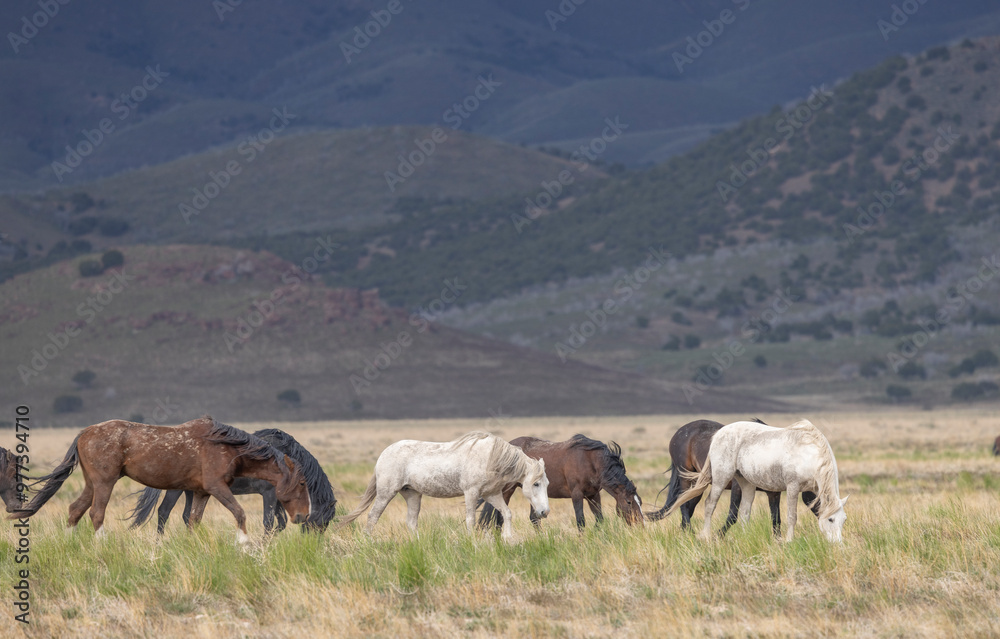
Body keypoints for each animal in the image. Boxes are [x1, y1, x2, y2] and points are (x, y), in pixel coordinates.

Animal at [7, 417, 312, 543]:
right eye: (301, 484)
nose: (303, 516)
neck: (227, 446)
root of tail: (85, 432)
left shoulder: (201, 492)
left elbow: (193, 521)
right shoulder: (217, 488)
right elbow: (239, 513)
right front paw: (243, 543)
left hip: (91, 483)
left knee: (75, 510)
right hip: (105, 482)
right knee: (96, 513)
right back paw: (102, 545)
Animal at [126, 428, 337, 534]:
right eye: (323, 522)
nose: (312, 548)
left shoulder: (277, 497)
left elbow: (280, 524)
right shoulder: (268, 494)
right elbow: (269, 523)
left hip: (191, 490)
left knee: (188, 517)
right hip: (175, 489)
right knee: (164, 512)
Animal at [339, 431, 549, 543]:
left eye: (547, 484)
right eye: (536, 483)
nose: (544, 512)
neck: (491, 458)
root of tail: (383, 454)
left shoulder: (492, 494)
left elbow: (507, 513)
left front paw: (508, 539)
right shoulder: (471, 493)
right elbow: (470, 520)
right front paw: (472, 542)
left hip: (412, 495)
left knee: (411, 522)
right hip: (386, 493)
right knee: (373, 516)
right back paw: (368, 541)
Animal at [478, 434, 643, 530]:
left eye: (640, 501)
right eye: (629, 502)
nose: (641, 525)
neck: (589, 461)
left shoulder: (593, 495)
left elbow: (599, 519)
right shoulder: (577, 494)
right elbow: (580, 521)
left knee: (534, 519)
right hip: (507, 490)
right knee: (500, 518)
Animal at [664, 419, 848, 543]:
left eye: (844, 519)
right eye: (830, 519)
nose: (837, 544)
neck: (807, 454)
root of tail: (718, 434)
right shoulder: (792, 487)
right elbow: (791, 516)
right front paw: (789, 541)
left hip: (746, 483)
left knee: (745, 512)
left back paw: (745, 539)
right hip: (721, 478)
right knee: (710, 504)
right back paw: (706, 536)